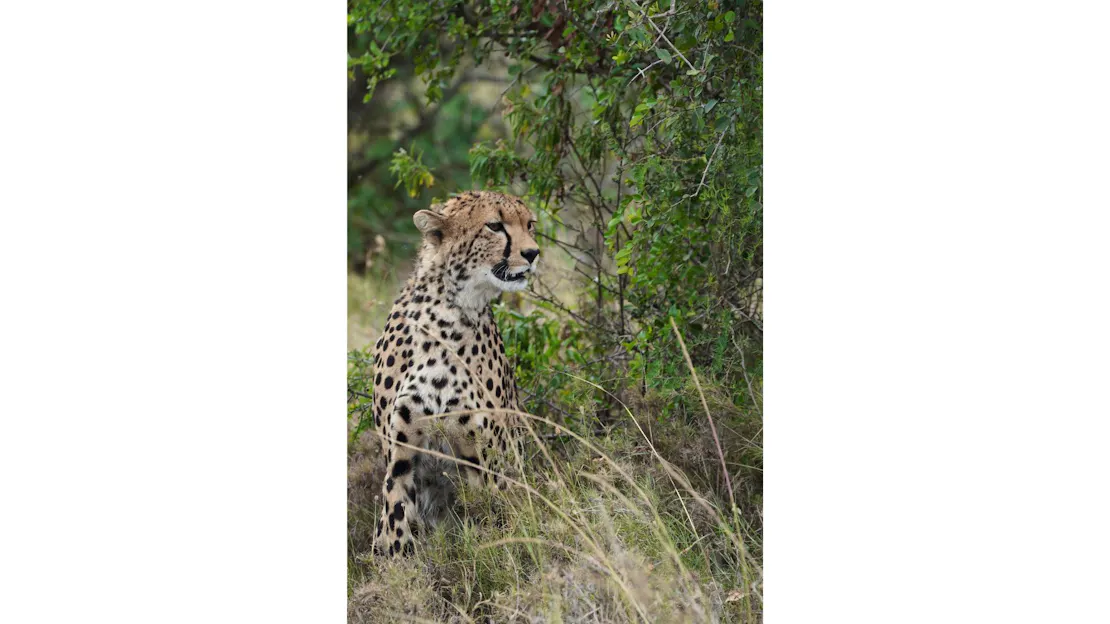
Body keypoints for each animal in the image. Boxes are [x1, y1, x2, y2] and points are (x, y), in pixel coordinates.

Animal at [369, 190, 540, 557]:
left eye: (530, 224)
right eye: (494, 226)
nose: (533, 253)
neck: (448, 314)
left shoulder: (483, 457)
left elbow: (496, 528)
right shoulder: (400, 453)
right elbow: (398, 523)